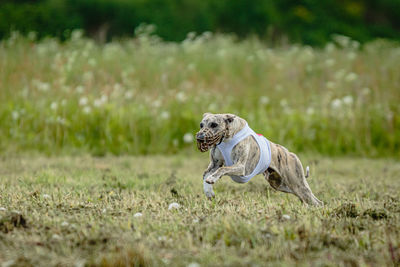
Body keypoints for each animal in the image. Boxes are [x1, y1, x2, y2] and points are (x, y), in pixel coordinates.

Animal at [195, 113, 324, 207]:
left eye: (214, 124)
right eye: (201, 125)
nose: (200, 137)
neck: (227, 137)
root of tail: (291, 154)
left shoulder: (240, 166)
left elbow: (222, 169)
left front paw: (212, 179)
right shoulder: (214, 165)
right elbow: (206, 174)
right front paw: (209, 192)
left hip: (297, 184)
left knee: (317, 201)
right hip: (282, 185)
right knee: (307, 199)